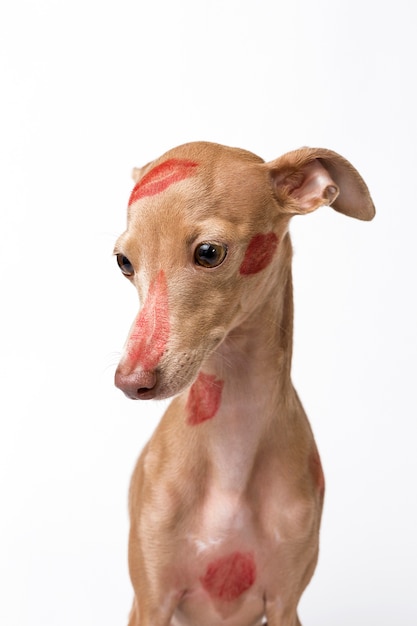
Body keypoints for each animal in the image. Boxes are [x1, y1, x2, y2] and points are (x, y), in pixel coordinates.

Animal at [113, 143, 374, 624]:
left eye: (209, 252)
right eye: (124, 262)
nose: (130, 381)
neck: (230, 445)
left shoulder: (286, 603)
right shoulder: (152, 600)